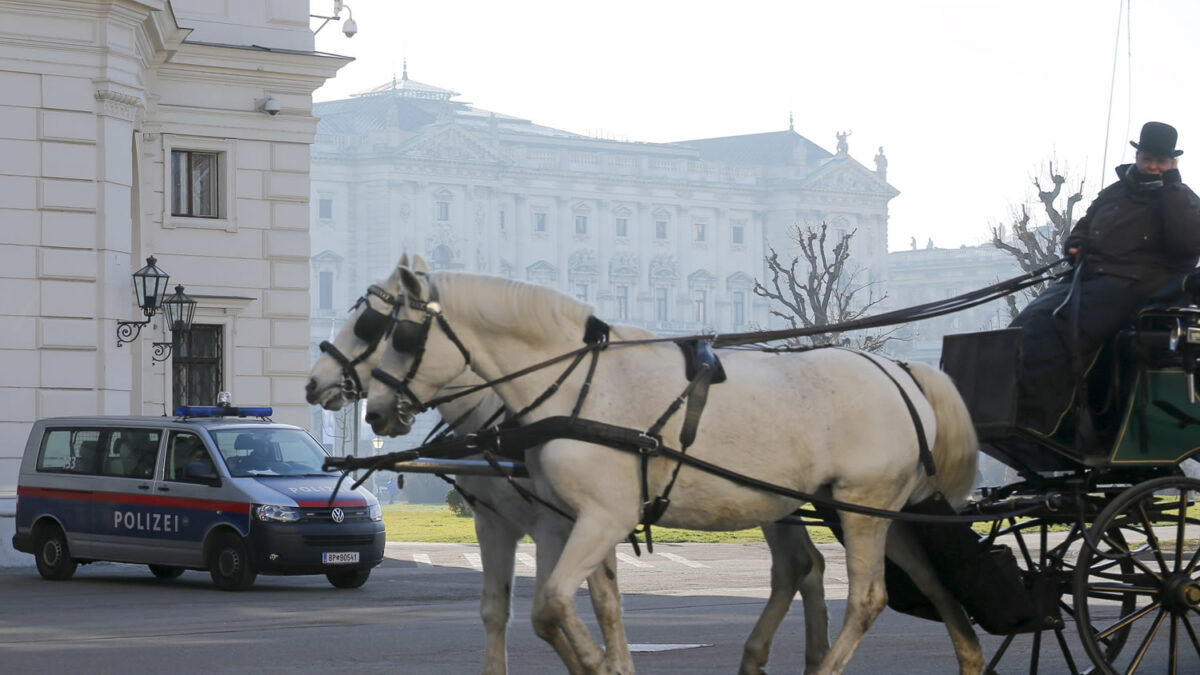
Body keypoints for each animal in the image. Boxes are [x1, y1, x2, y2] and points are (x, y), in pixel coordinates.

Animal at [309, 254, 830, 667]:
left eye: (373, 325)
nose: (314, 383)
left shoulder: (560, 523)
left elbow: (582, 605)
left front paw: (604, 662)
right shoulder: (506, 523)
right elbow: (514, 610)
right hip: (773, 505)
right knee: (802, 566)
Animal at [367, 263, 984, 672]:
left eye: (400, 335)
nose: (370, 407)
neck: (579, 385)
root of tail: (899, 370)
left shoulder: (591, 517)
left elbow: (555, 604)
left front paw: (597, 662)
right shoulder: (565, 521)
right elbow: (581, 603)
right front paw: (606, 661)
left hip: (862, 506)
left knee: (866, 597)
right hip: (865, 508)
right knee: (918, 576)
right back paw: (967, 654)